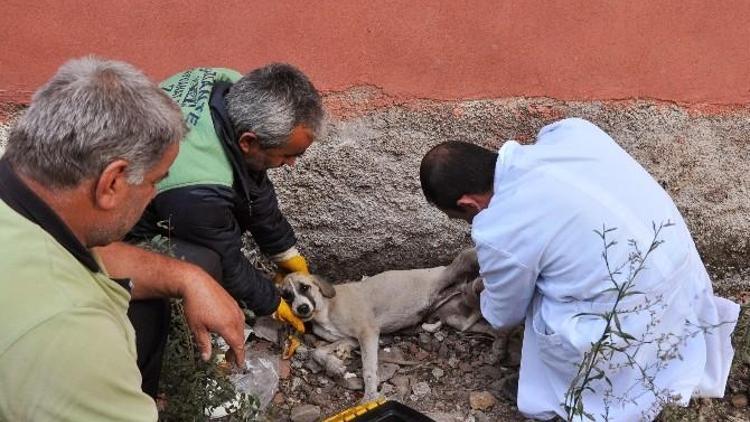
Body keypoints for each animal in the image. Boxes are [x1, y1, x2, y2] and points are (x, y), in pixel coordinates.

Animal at [280, 249, 478, 400]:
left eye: (305, 287)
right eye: (286, 296)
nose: (302, 308)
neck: (325, 309)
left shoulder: (368, 333)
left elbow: (368, 369)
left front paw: (370, 396)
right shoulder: (352, 339)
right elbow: (317, 350)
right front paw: (334, 365)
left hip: (452, 269)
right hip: (452, 313)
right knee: (467, 320)